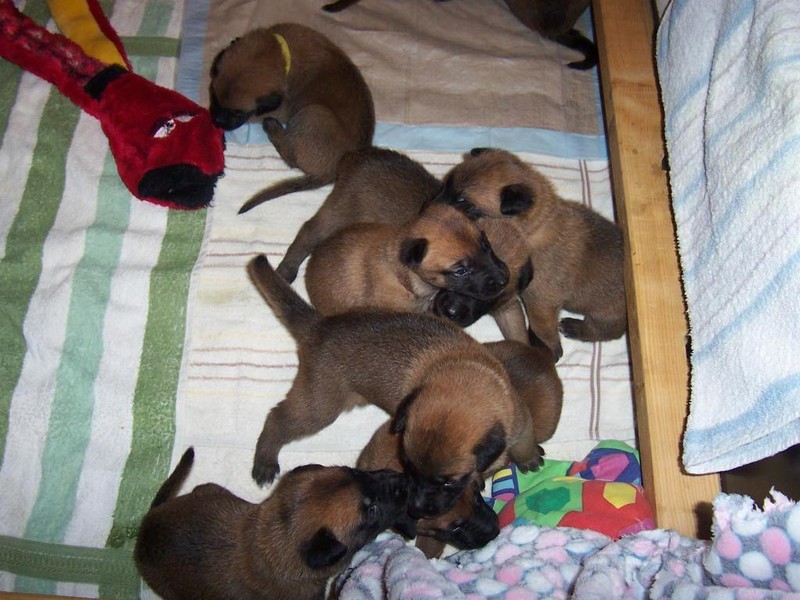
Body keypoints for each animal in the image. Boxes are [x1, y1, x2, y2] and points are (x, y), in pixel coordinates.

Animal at [135, 447, 409, 600]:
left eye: (356, 472)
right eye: (371, 511)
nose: (403, 479)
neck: (282, 536)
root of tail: (148, 523)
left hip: (209, 489)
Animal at [208, 23, 375, 213]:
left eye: (237, 113)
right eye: (212, 95)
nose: (216, 122)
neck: (280, 51)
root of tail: (333, 172)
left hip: (312, 114)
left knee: (292, 158)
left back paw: (273, 128)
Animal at [247, 254, 540, 520]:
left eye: (448, 482)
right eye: (406, 465)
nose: (416, 509)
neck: (466, 376)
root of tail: (320, 325)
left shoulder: (520, 418)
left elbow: (524, 441)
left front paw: (528, 458)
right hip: (319, 407)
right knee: (278, 418)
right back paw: (265, 460)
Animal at [434, 147, 626, 361]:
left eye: (466, 205)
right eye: (446, 184)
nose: (428, 209)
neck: (534, 227)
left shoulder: (540, 301)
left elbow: (542, 327)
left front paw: (548, 350)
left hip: (607, 315)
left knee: (605, 331)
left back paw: (574, 327)